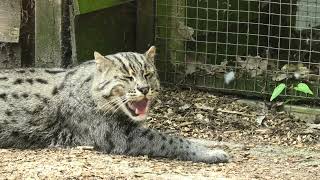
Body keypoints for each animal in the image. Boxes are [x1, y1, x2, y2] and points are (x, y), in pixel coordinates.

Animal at [0, 46, 229, 163]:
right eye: (127, 77)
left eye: (148, 74)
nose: (144, 89)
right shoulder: (119, 135)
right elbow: (170, 140)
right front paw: (210, 153)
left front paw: (214, 144)